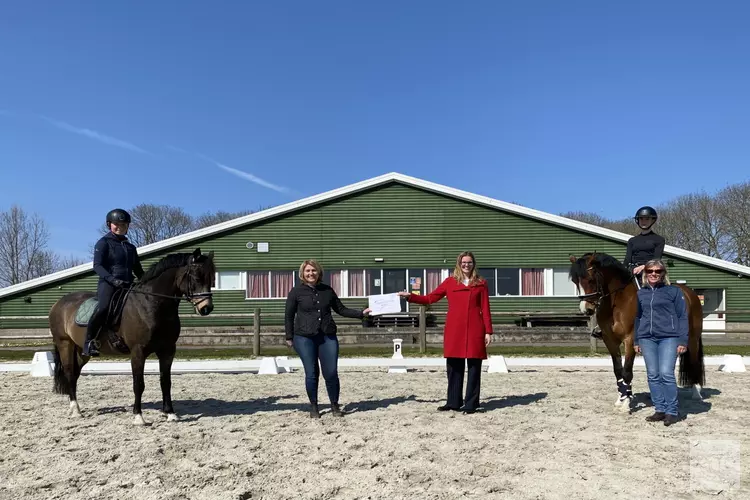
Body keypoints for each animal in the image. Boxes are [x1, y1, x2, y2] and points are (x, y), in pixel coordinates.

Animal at [48, 248, 216, 424]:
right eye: (196, 277)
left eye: (212, 278)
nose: (206, 308)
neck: (152, 304)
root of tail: (59, 303)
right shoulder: (138, 351)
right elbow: (139, 384)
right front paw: (138, 417)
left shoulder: (168, 350)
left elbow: (166, 382)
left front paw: (170, 413)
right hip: (65, 344)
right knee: (69, 373)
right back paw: (75, 410)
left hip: (82, 351)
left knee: (75, 374)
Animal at [572, 252, 708, 412]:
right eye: (575, 281)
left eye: (591, 280)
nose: (586, 309)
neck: (618, 301)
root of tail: (690, 293)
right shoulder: (610, 341)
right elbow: (618, 370)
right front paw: (621, 399)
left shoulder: (630, 340)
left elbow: (627, 371)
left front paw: (626, 404)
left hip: (692, 338)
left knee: (693, 361)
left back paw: (696, 393)